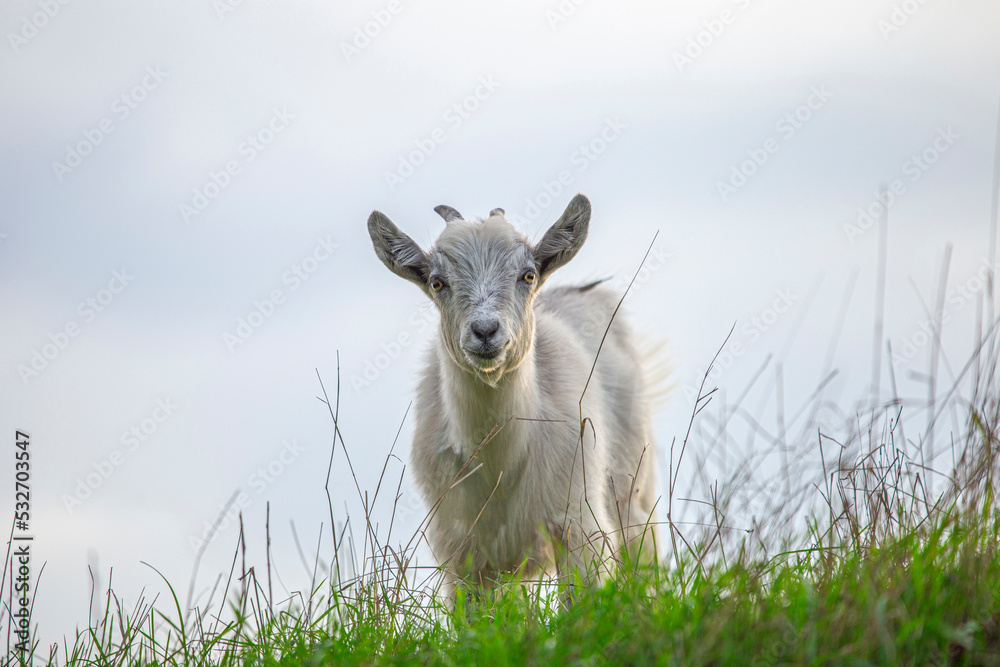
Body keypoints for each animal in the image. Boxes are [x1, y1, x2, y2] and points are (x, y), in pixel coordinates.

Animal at [367, 194, 659, 595]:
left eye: (528, 275)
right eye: (437, 282)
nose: (485, 331)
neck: (500, 467)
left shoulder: (577, 523)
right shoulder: (460, 553)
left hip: (630, 485)